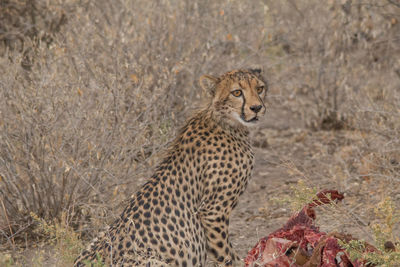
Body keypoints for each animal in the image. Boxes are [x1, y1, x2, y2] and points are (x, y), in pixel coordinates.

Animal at [75, 69, 268, 267]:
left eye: (260, 88)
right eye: (237, 92)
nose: (256, 108)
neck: (224, 121)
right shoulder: (212, 212)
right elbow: (227, 254)